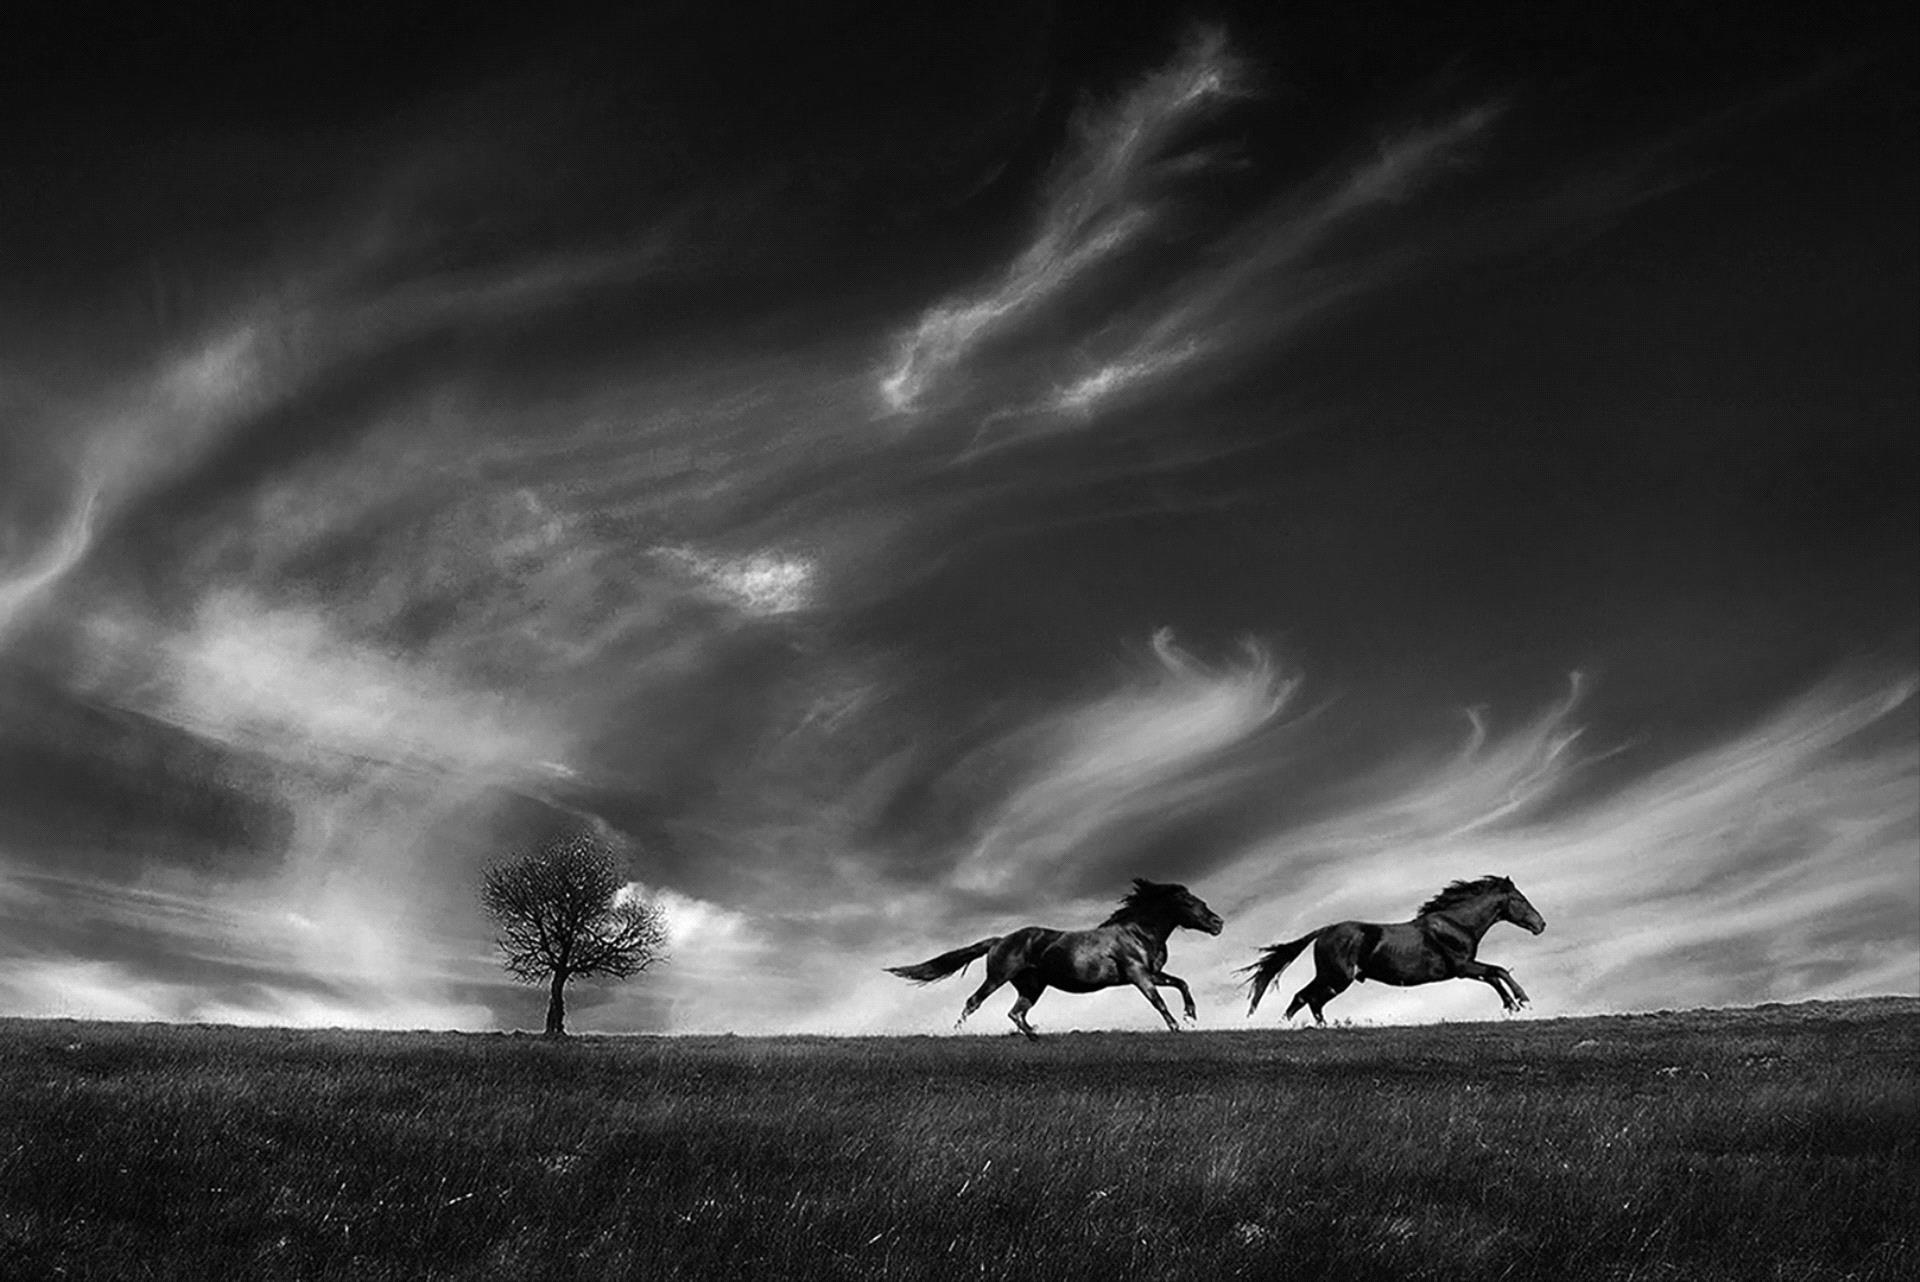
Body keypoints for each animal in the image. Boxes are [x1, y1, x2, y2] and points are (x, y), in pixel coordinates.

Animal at [887, 875, 1221, 1036]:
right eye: (1191, 903)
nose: (1218, 923)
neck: (1138, 933)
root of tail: (1000, 940)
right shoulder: (1139, 975)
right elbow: (1158, 1001)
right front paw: (1177, 1026)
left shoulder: (1151, 973)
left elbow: (1181, 983)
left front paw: (1190, 1015)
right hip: (998, 977)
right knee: (974, 1002)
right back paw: (956, 1032)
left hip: (1032, 986)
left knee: (1016, 1012)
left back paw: (1034, 1036)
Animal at [1244, 871, 1543, 1020]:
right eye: (1520, 899)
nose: (1541, 924)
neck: (1456, 924)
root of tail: (1325, 931)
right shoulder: (1461, 966)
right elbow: (1498, 971)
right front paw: (1523, 1000)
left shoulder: (1462, 969)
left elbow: (1493, 976)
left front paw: (1512, 1005)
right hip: (1337, 977)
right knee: (1307, 997)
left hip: (1334, 978)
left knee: (1309, 999)